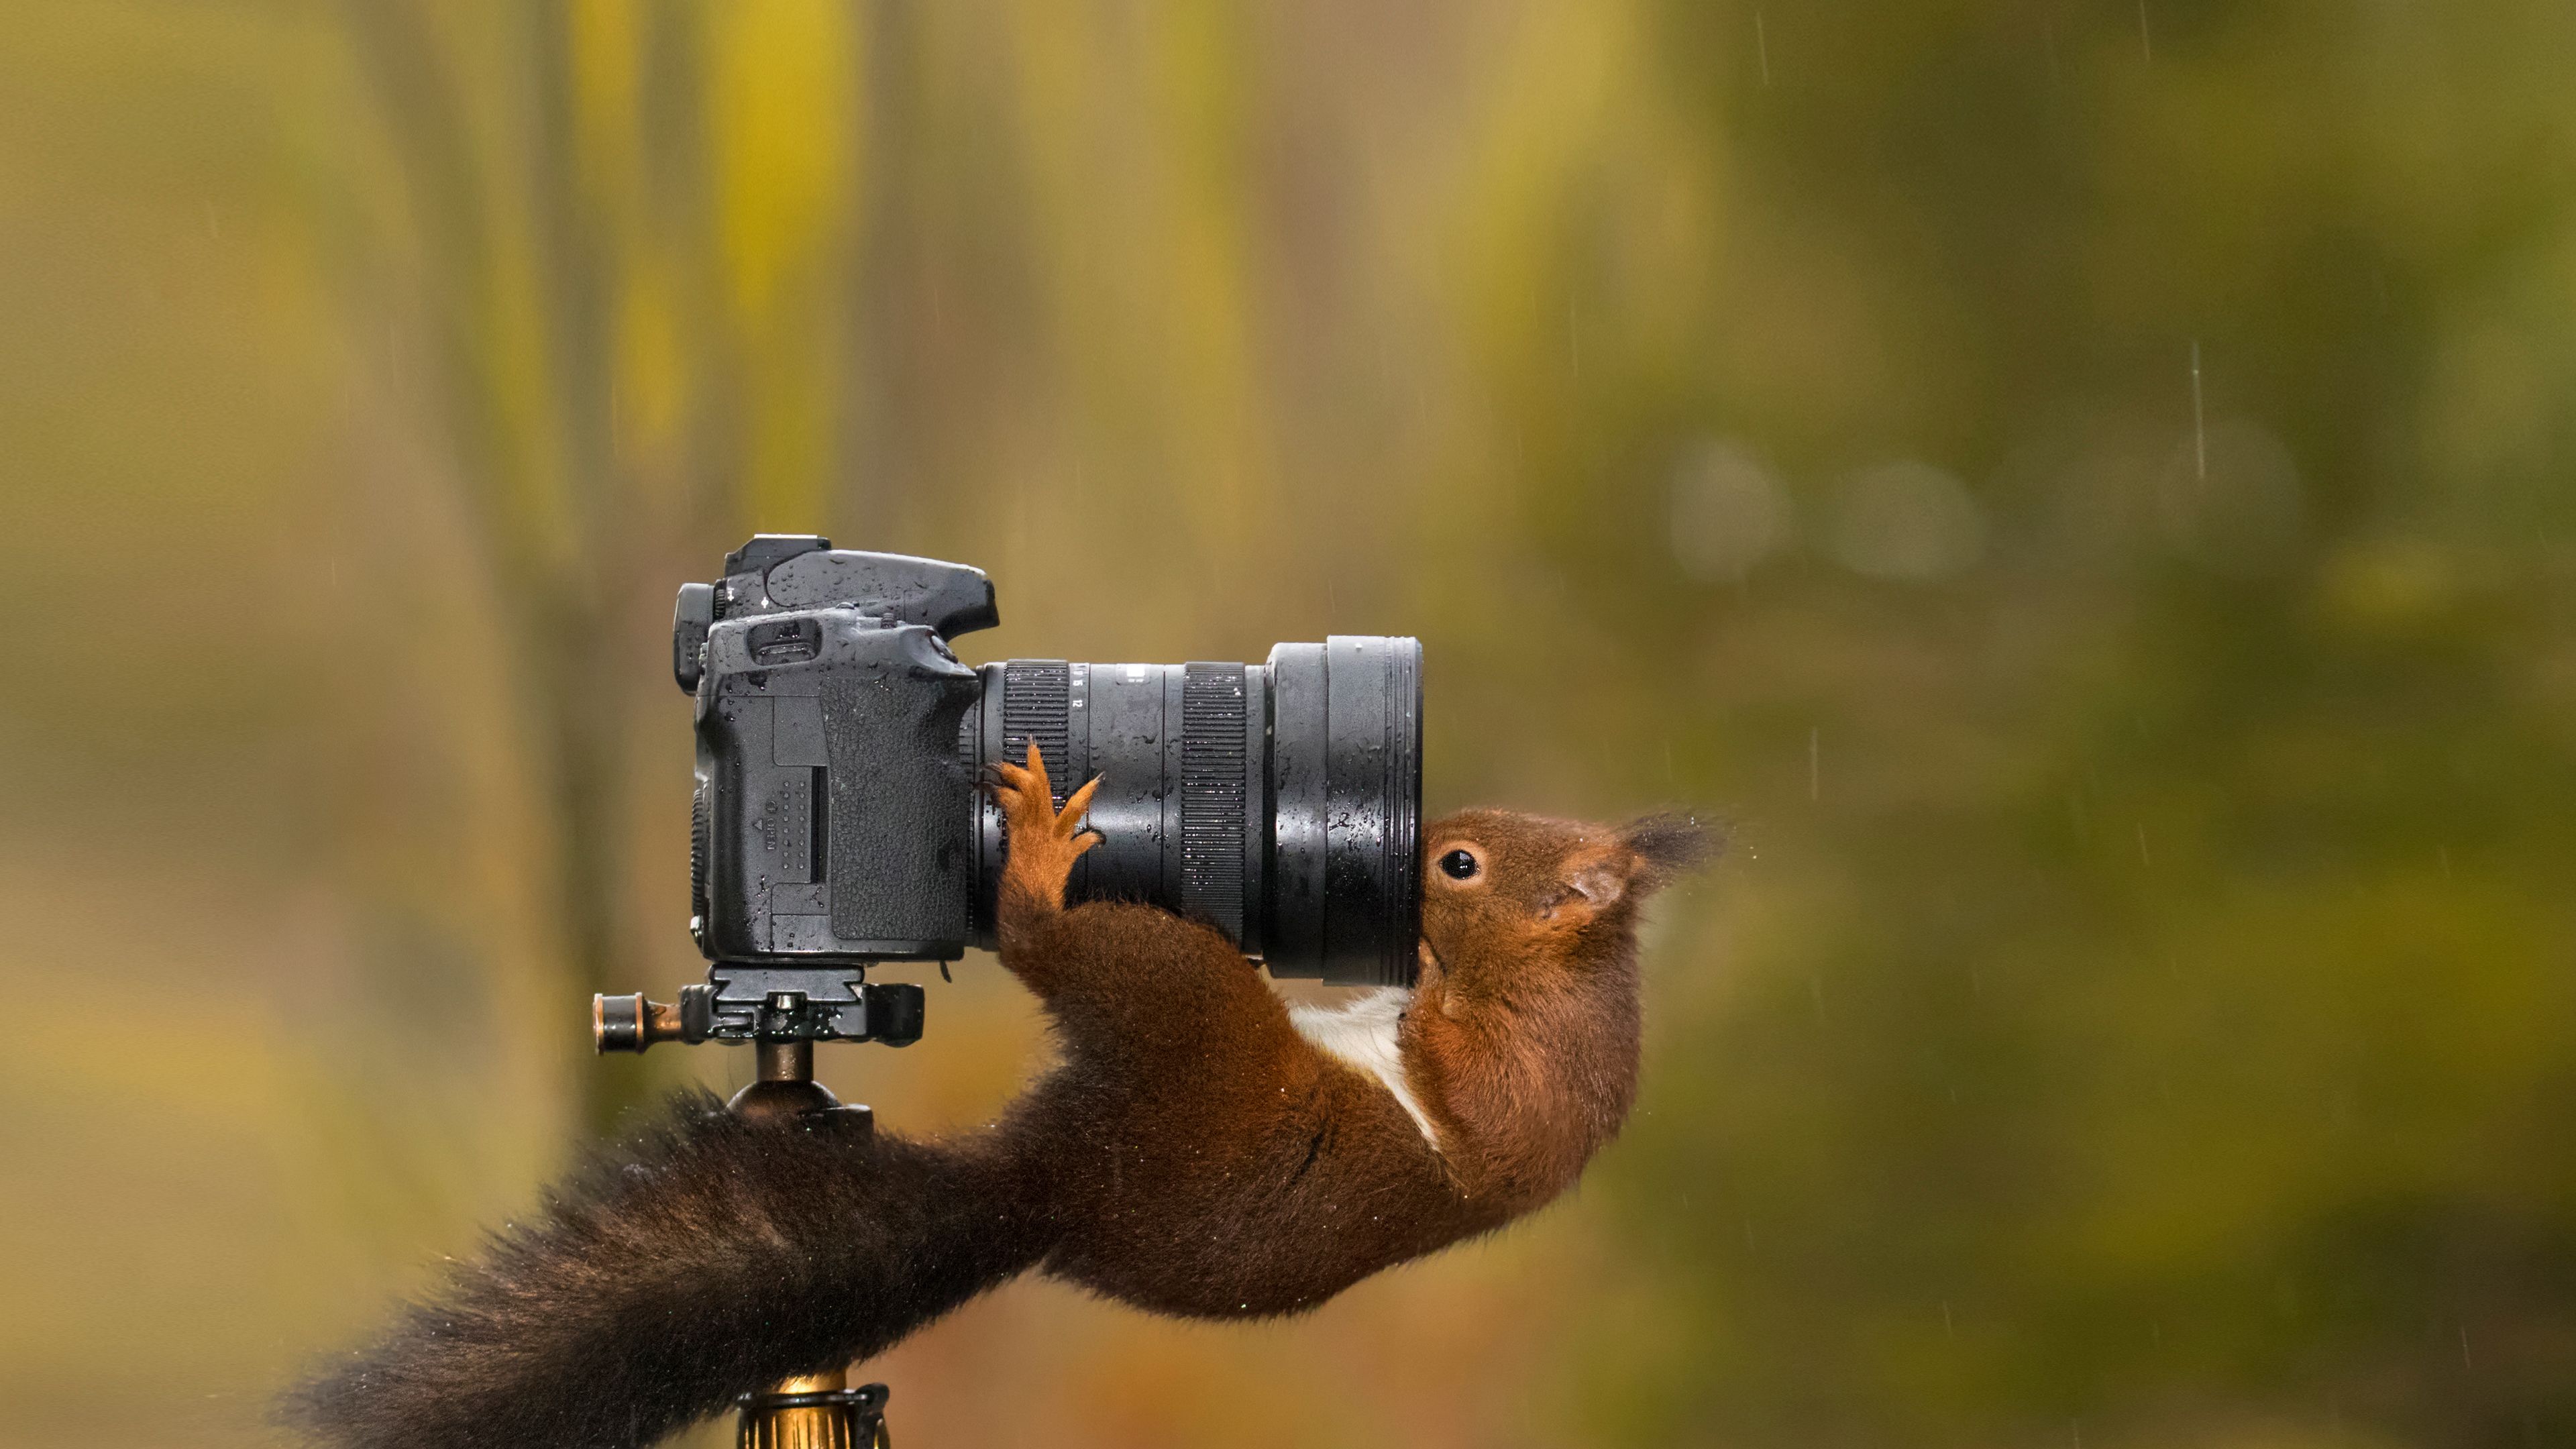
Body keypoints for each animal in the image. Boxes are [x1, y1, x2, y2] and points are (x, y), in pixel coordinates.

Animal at [287, 742, 1710, 1444]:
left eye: (1462, 866)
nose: (1410, 853)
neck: (1566, 977)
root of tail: (1053, 1182)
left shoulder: (1534, 1078)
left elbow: (1471, 1090)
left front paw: (1418, 1003)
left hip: (1185, 1010)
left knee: (1054, 942)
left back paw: (1031, 860)